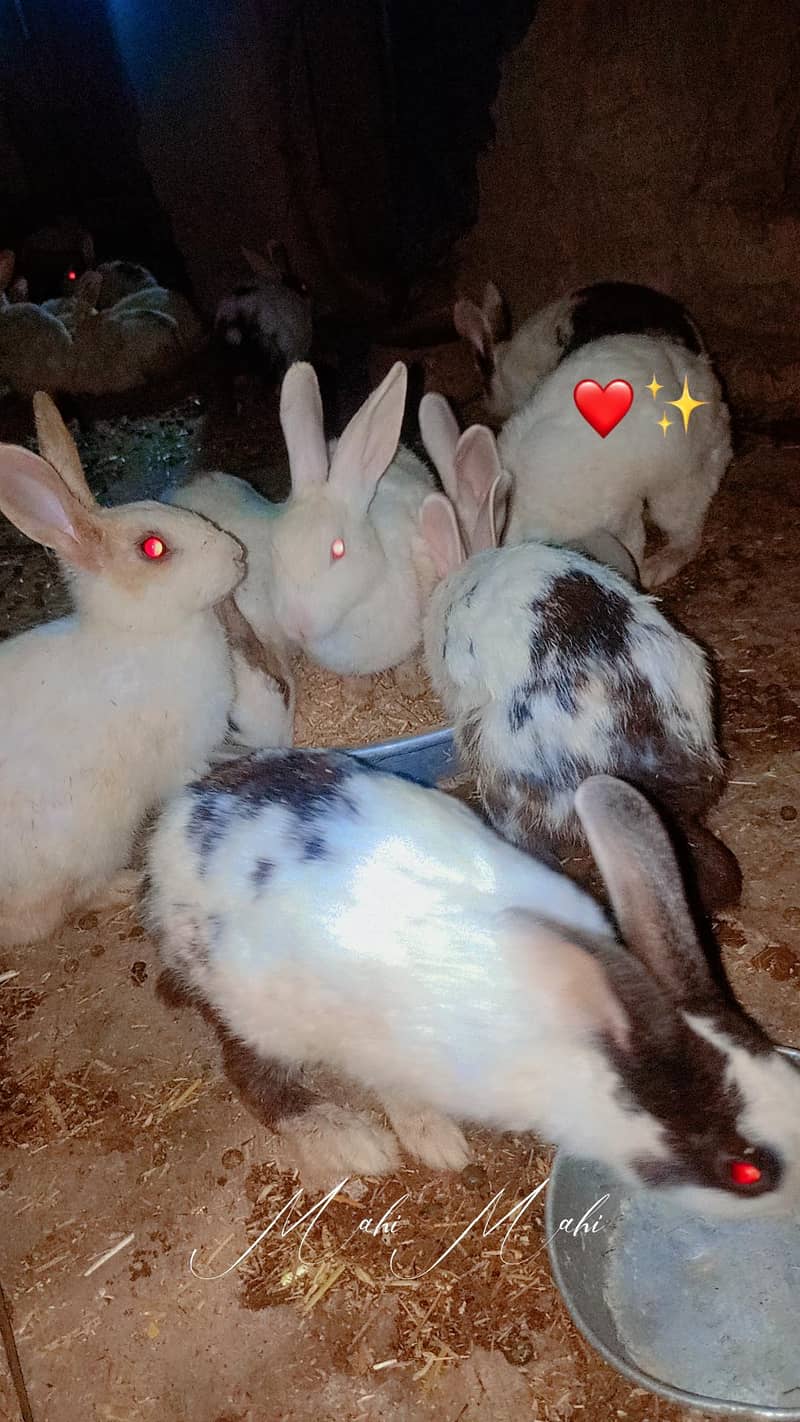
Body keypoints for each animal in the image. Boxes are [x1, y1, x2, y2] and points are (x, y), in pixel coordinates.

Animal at [0, 392, 248, 948]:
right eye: (153, 548)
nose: (239, 556)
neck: (141, 635)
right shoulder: (179, 757)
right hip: (93, 841)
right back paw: (122, 886)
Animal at [144, 751, 800, 1216]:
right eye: (744, 1171)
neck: (584, 1041)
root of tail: (172, 828)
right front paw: (426, 1141)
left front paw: (431, 1136)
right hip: (255, 1012)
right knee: (252, 1077)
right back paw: (348, 1139)